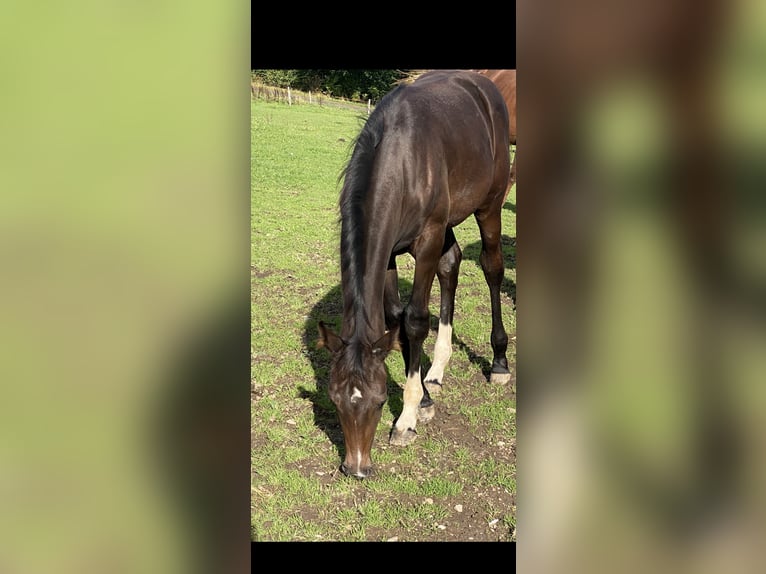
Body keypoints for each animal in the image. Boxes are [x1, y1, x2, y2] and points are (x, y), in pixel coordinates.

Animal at [317, 69, 512, 479]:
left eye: (379, 402)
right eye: (335, 400)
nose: (356, 468)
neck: (401, 161)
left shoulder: (426, 241)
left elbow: (416, 320)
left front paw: (407, 418)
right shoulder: (390, 251)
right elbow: (395, 319)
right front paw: (422, 398)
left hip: (488, 206)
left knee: (492, 268)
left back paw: (499, 363)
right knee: (451, 264)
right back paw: (435, 373)